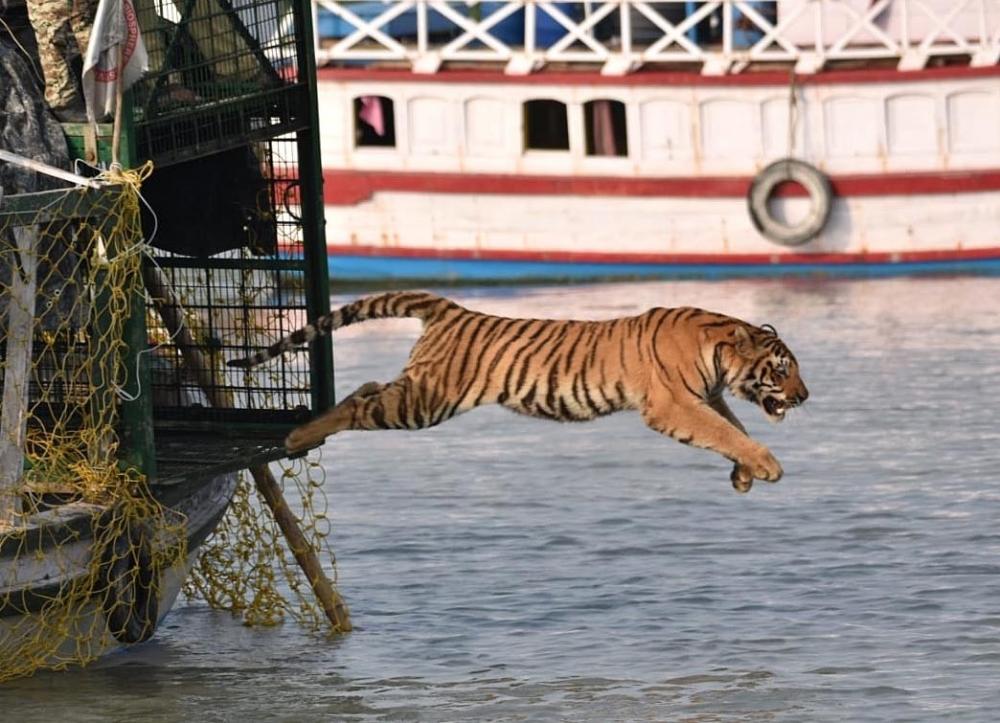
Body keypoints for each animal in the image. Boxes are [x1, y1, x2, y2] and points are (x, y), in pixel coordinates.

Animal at [230, 292, 808, 494]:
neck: (721, 349)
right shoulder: (674, 405)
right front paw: (766, 465)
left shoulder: (706, 397)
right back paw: (297, 436)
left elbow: (733, 428)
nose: (804, 397)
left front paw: (743, 474)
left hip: (416, 391)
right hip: (424, 402)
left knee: (368, 387)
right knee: (358, 402)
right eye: (782, 370)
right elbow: (724, 432)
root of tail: (449, 307)